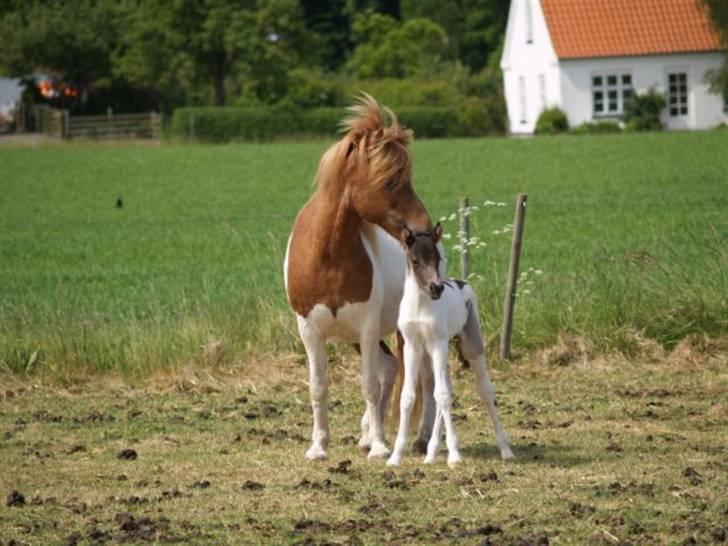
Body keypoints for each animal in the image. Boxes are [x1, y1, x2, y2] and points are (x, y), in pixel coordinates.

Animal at [282, 94, 432, 460]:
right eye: (390, 181)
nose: (423, 229)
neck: (328, 255)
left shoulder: (366, 326)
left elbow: (369, 386)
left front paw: (378, 447)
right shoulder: (310, 330)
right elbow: (319, 387)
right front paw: (319, 446)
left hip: (408, 330)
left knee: (422, 379)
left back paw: (419, 438)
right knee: (390, 367)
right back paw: (367, 435)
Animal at [390, 223, 516, 466]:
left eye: (437, 258)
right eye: (415, 260)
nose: (436, 288)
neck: (420, 306)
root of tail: (462, 282)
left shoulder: (438, 344)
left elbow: (442, 396)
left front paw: (455, 455)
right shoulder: (412, 346)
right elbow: (408, 397)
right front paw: (395, 456)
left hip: (470, 347)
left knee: (484, 390)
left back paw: (505, 449)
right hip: (431, 355)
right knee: (442, 388)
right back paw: (431, 453)